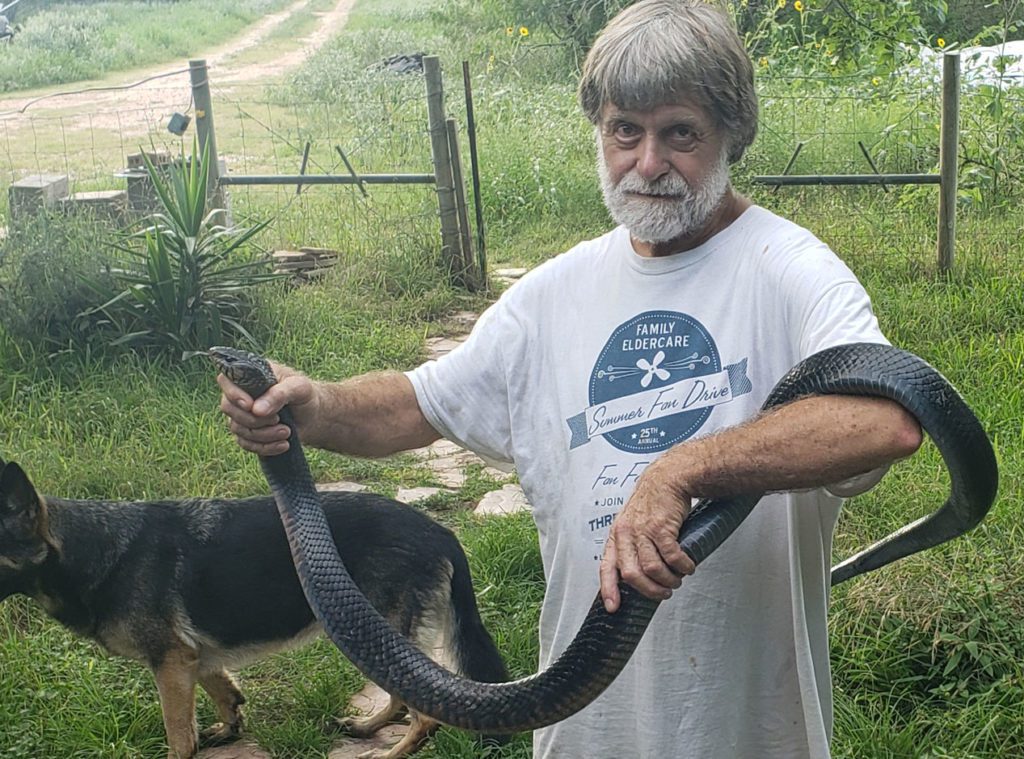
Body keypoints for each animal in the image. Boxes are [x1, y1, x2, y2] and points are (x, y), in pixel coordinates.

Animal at [0, 456, 509, 757]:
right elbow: (223, 690)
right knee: (404, 701)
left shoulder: (170, 663)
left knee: (425, 715)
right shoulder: (192, 658)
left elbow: (177, 732)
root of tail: (438, 532)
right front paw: (229, 728)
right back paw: (368, 727)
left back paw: (388, 753)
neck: (93, 548)